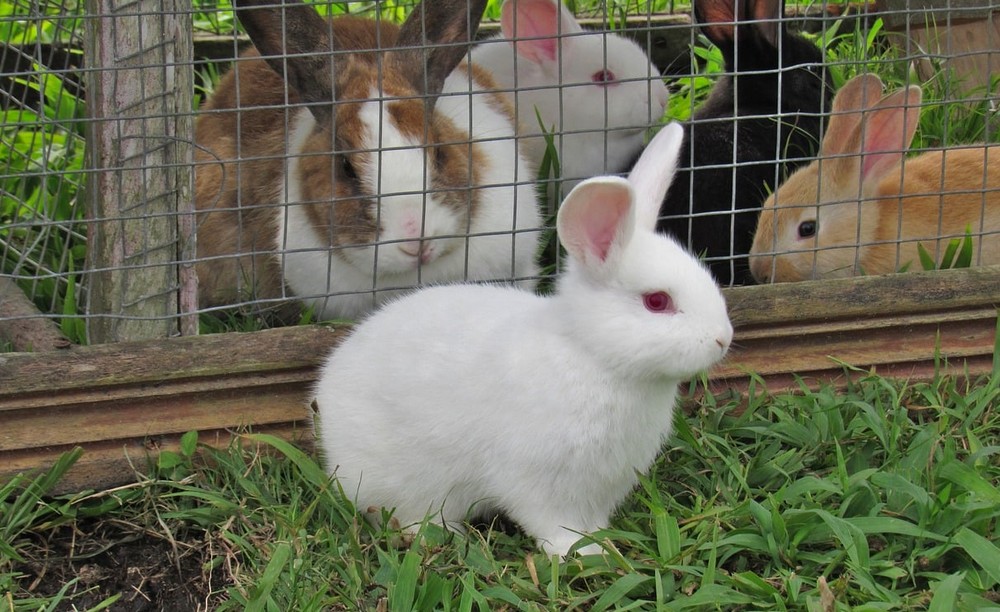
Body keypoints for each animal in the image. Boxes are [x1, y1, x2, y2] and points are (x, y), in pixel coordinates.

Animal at [313, 122, 733, 558]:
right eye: (657, 301)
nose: (723, 339)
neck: (591, 355)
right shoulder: (538, 481)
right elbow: (552, 523)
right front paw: (582, 554)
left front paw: (604, 543)